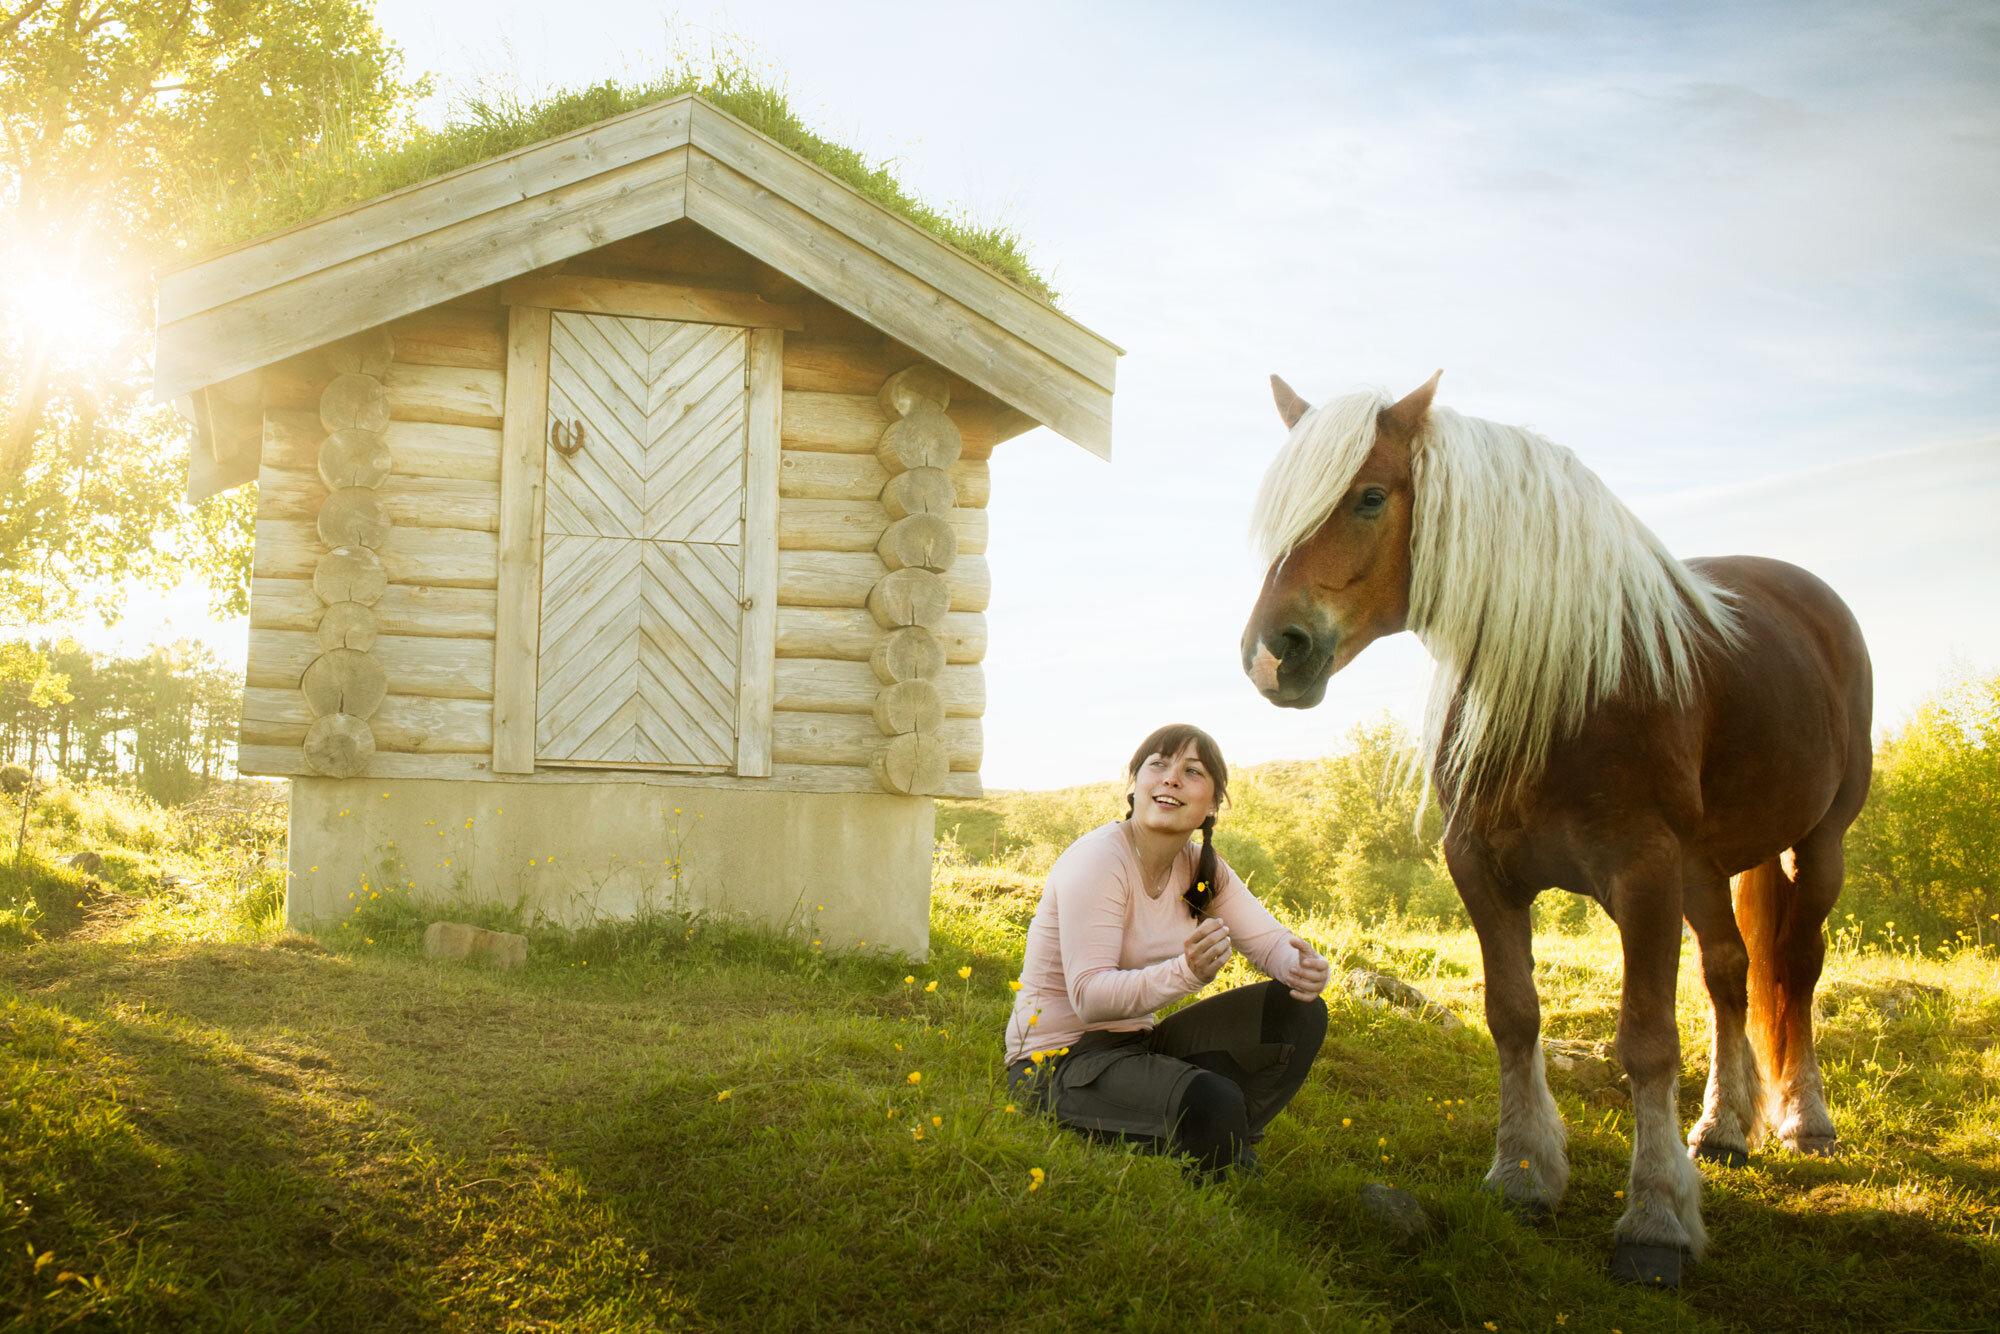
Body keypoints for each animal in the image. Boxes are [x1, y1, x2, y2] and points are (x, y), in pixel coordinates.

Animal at [1239, 373, 1872, 1287]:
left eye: (1370, 496)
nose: (1272, 654)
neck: (1569, 681)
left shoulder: (1644, 872)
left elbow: (1647, 1041)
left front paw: (1655, 1220)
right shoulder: (1482, 868)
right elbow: (1513, 1016)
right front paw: (1524, 1174)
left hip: (1816, 845)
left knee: (1793, 968)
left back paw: (1806, 1120)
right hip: (1704, 870)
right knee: (1729, 972)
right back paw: (1722, 1128)